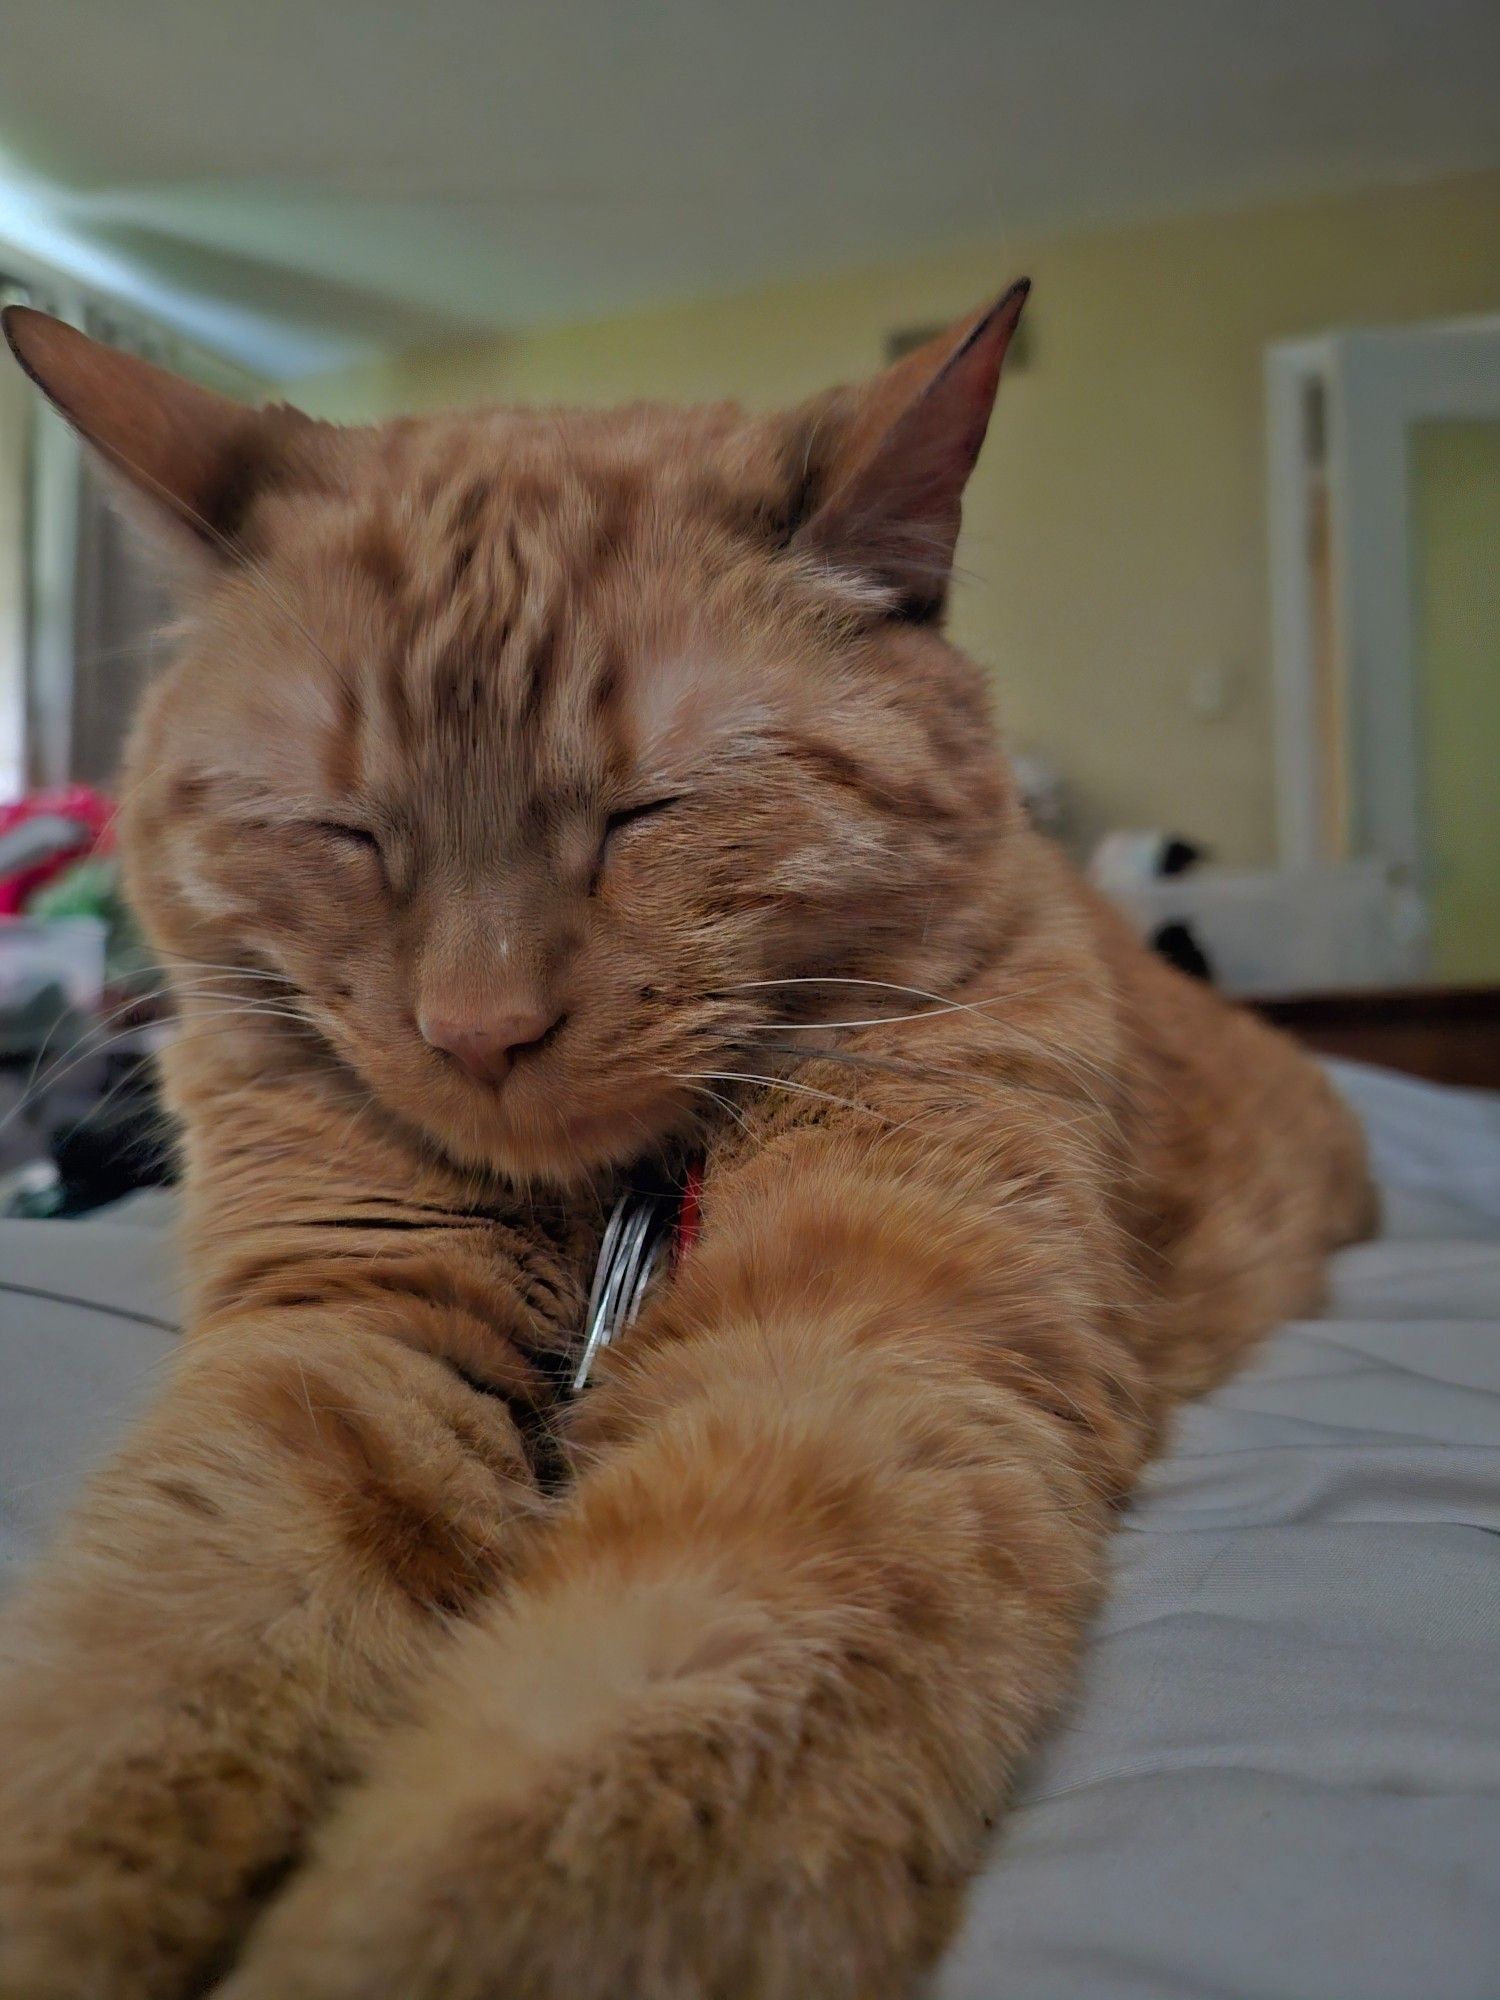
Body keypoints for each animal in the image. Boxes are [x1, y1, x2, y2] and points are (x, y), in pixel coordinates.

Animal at [0, 286, 1376, 2000]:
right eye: (346, 832)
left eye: (645, 814)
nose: (479, 1030)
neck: (593, 1213)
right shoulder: (341, 1353)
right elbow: (135, 1667)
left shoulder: (856, 1374)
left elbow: (559, 1803)